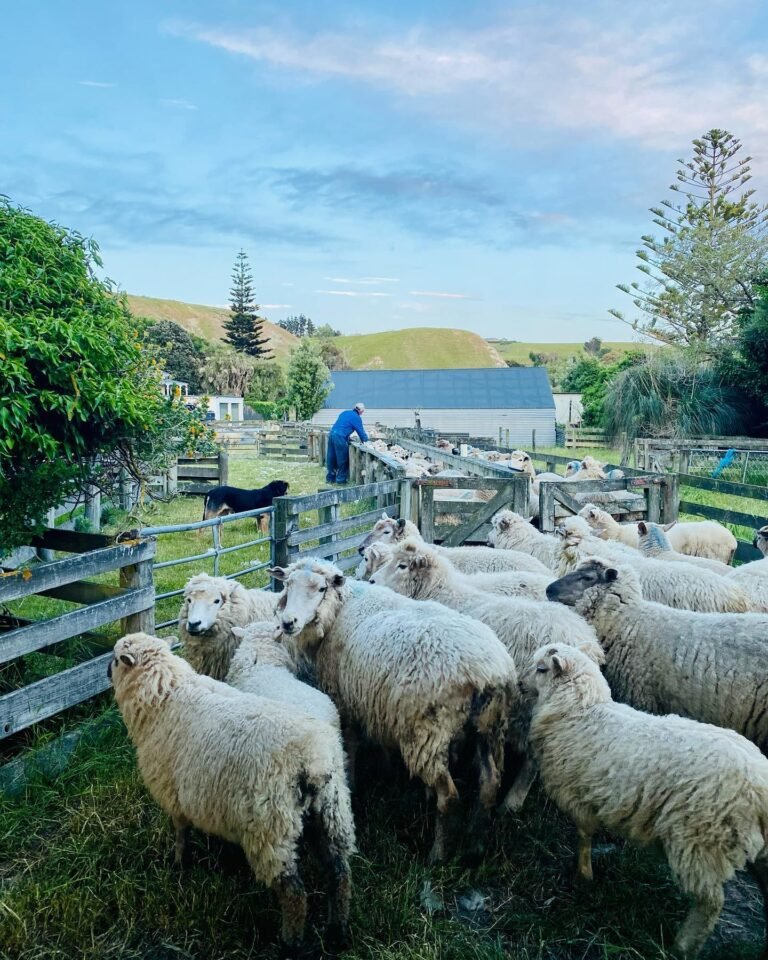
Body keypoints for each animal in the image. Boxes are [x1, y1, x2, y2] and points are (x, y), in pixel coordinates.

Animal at [109, 633, 355, 954]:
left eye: (115, 659)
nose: (106, 670)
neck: (164, 694)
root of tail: (313, 761)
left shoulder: (173, 793)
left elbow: (180, 832)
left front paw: (178, 864)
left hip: (272, 829)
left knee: (294, 894)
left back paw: (290, 943)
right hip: (332, 812)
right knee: (339, 875)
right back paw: (338, 932)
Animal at [271, 559, 517, 864]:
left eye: (321, 588)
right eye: (288, 585)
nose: (288, 622)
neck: (341, 609)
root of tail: (488, 671)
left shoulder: (345, 700)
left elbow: (350, 745)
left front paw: (353, 782)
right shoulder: (375, 702)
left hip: (427, 734)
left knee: (449, 797)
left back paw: (437, 855)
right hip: (490, 725)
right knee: (490, 783)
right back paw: (475, 846)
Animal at [524, 640, 768, 960]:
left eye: (541, 668)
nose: (519, 683)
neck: (582, 710)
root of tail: (761, 781)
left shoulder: (579, 795)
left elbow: (584, 836)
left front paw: (583, 875)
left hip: (701, 839)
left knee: (710, 902)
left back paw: (683, 945)